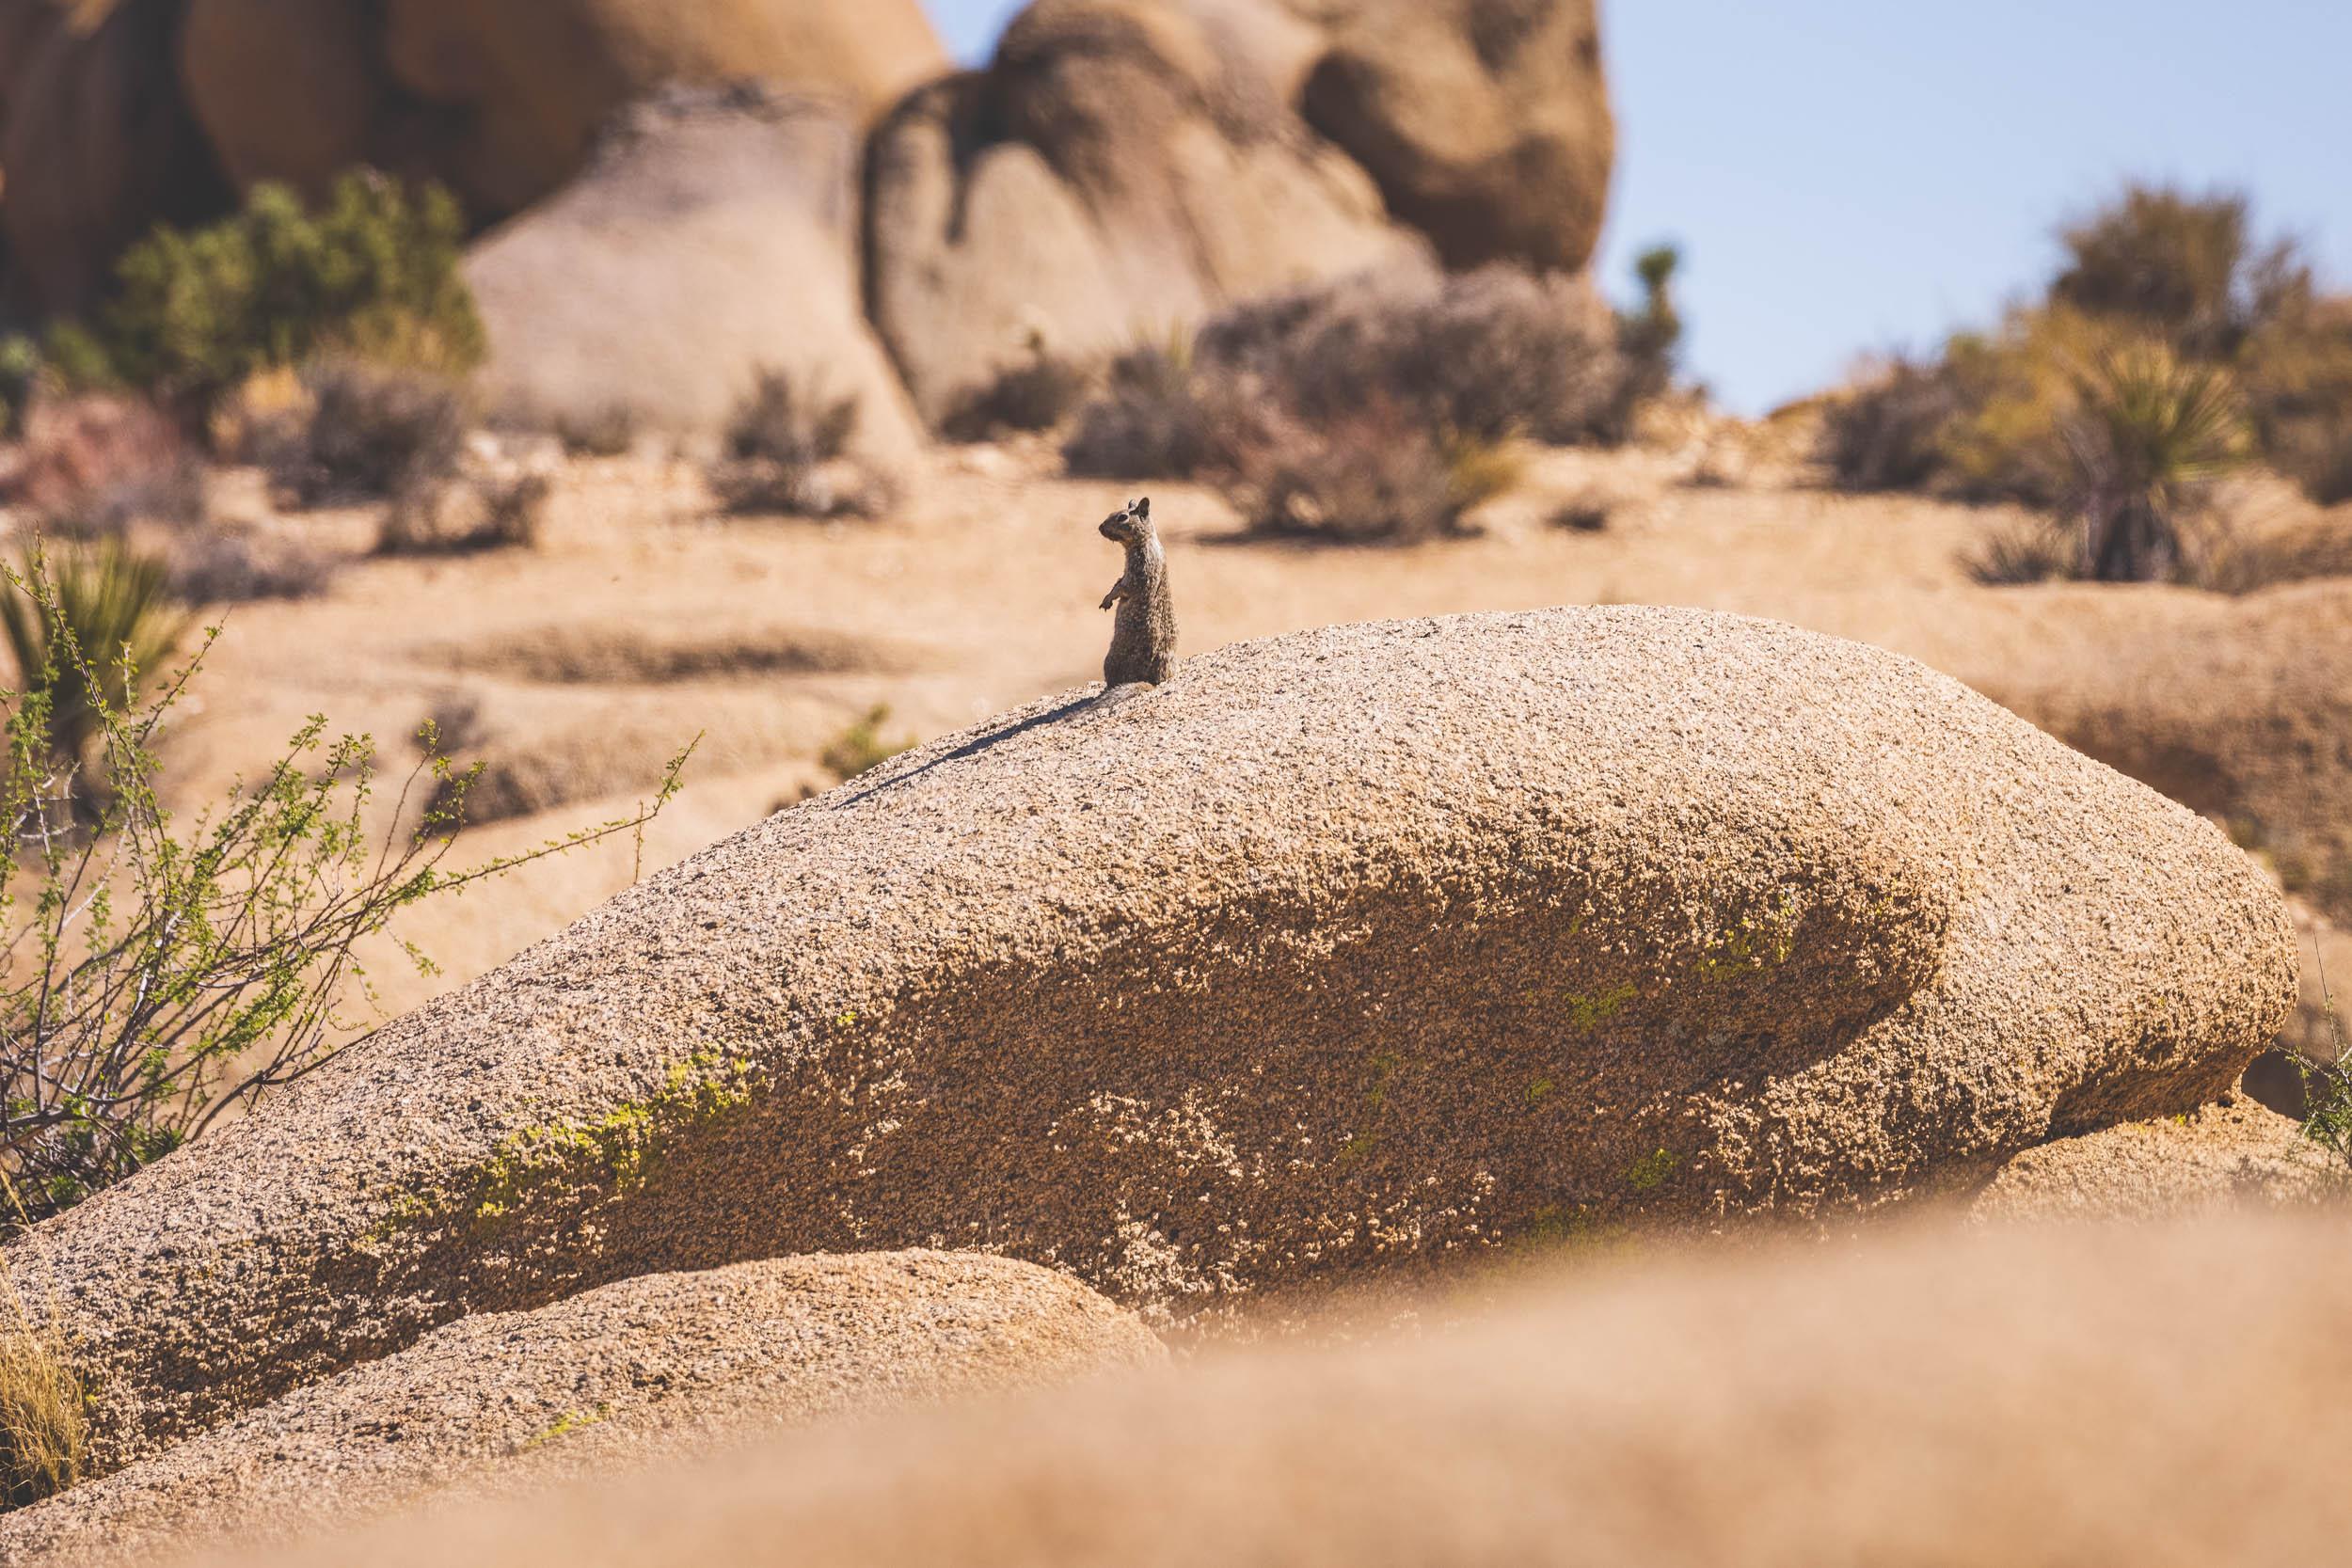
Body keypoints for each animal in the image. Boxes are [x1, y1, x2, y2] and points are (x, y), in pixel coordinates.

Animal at [1097, 496, 1176, 687]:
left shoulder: (1138, 569)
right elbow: (1118, 581)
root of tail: (1149, 680)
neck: (1146, 540)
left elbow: (1124, 587)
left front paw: (1109, 598)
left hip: (1110, 660)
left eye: (1123, 517)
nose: (1100, 527)